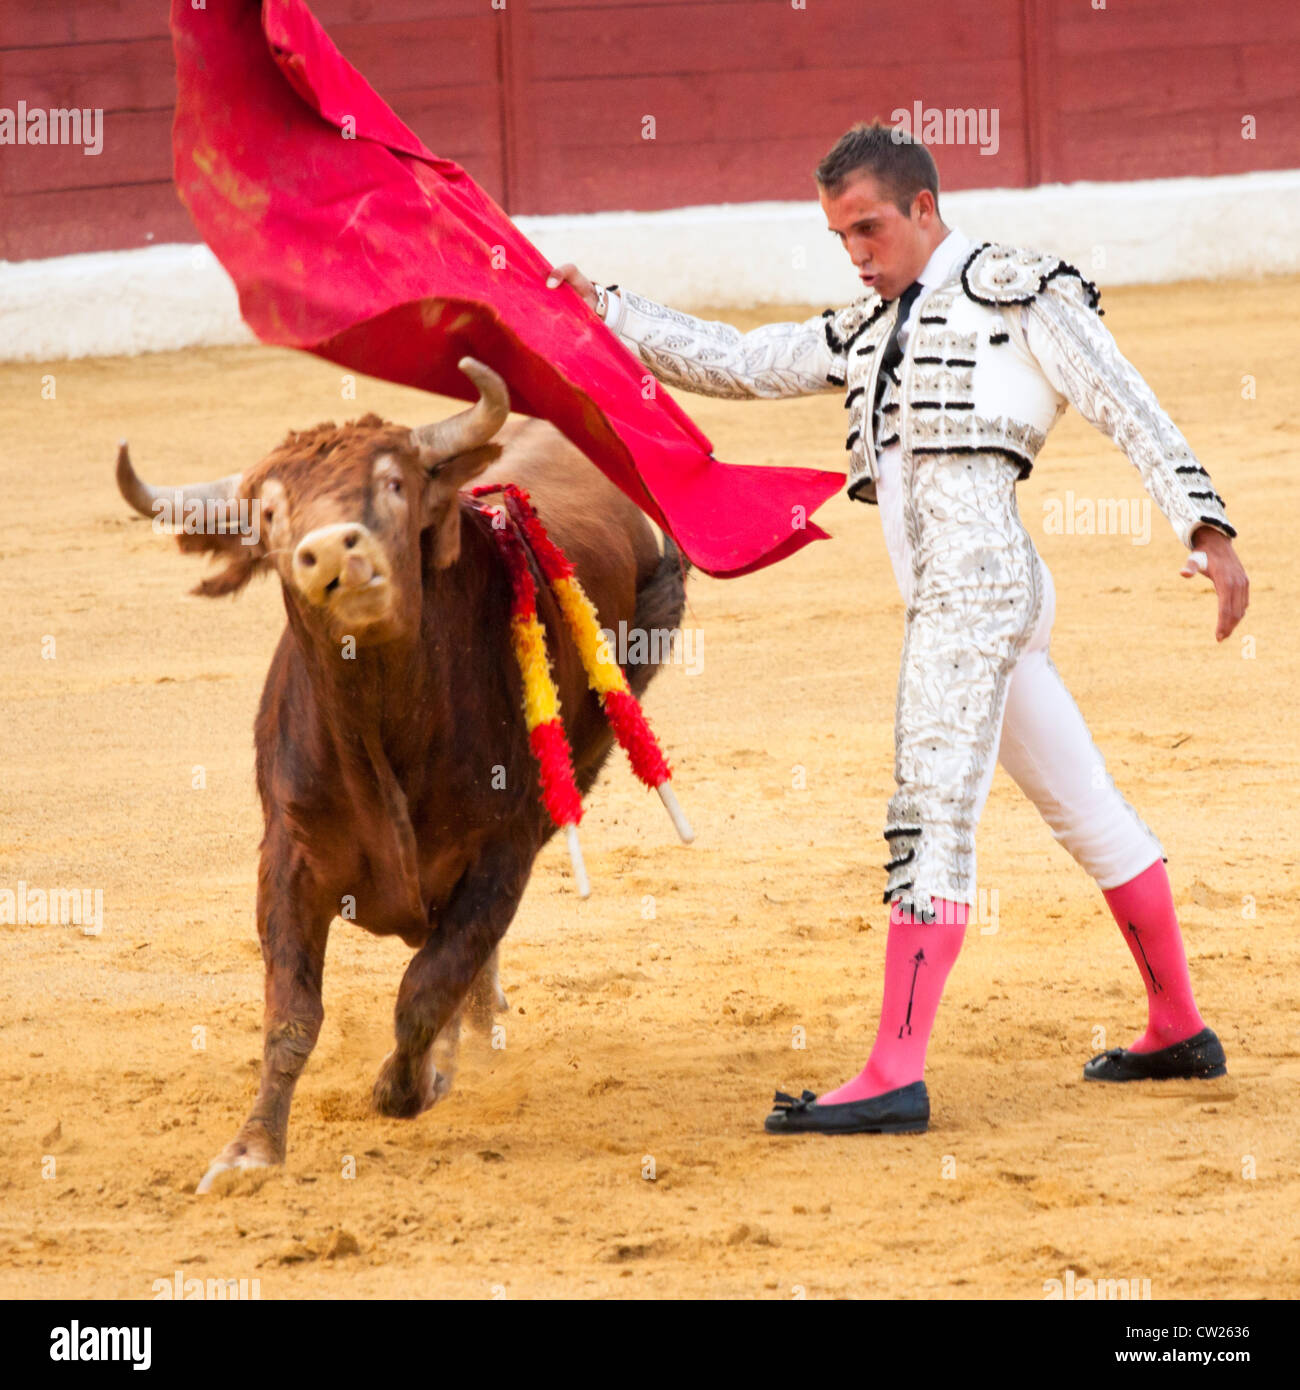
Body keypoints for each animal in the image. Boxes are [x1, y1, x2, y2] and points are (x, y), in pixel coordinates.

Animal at [118, 361, 692, 1195]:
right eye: (269, 513)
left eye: (392, 483)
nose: (332, 553)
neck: (379, 729)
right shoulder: (286, 858)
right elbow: (291, 1012)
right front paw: (250, 1150)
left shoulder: (502, 850)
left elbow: (429, 983)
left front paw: (405, 1085)